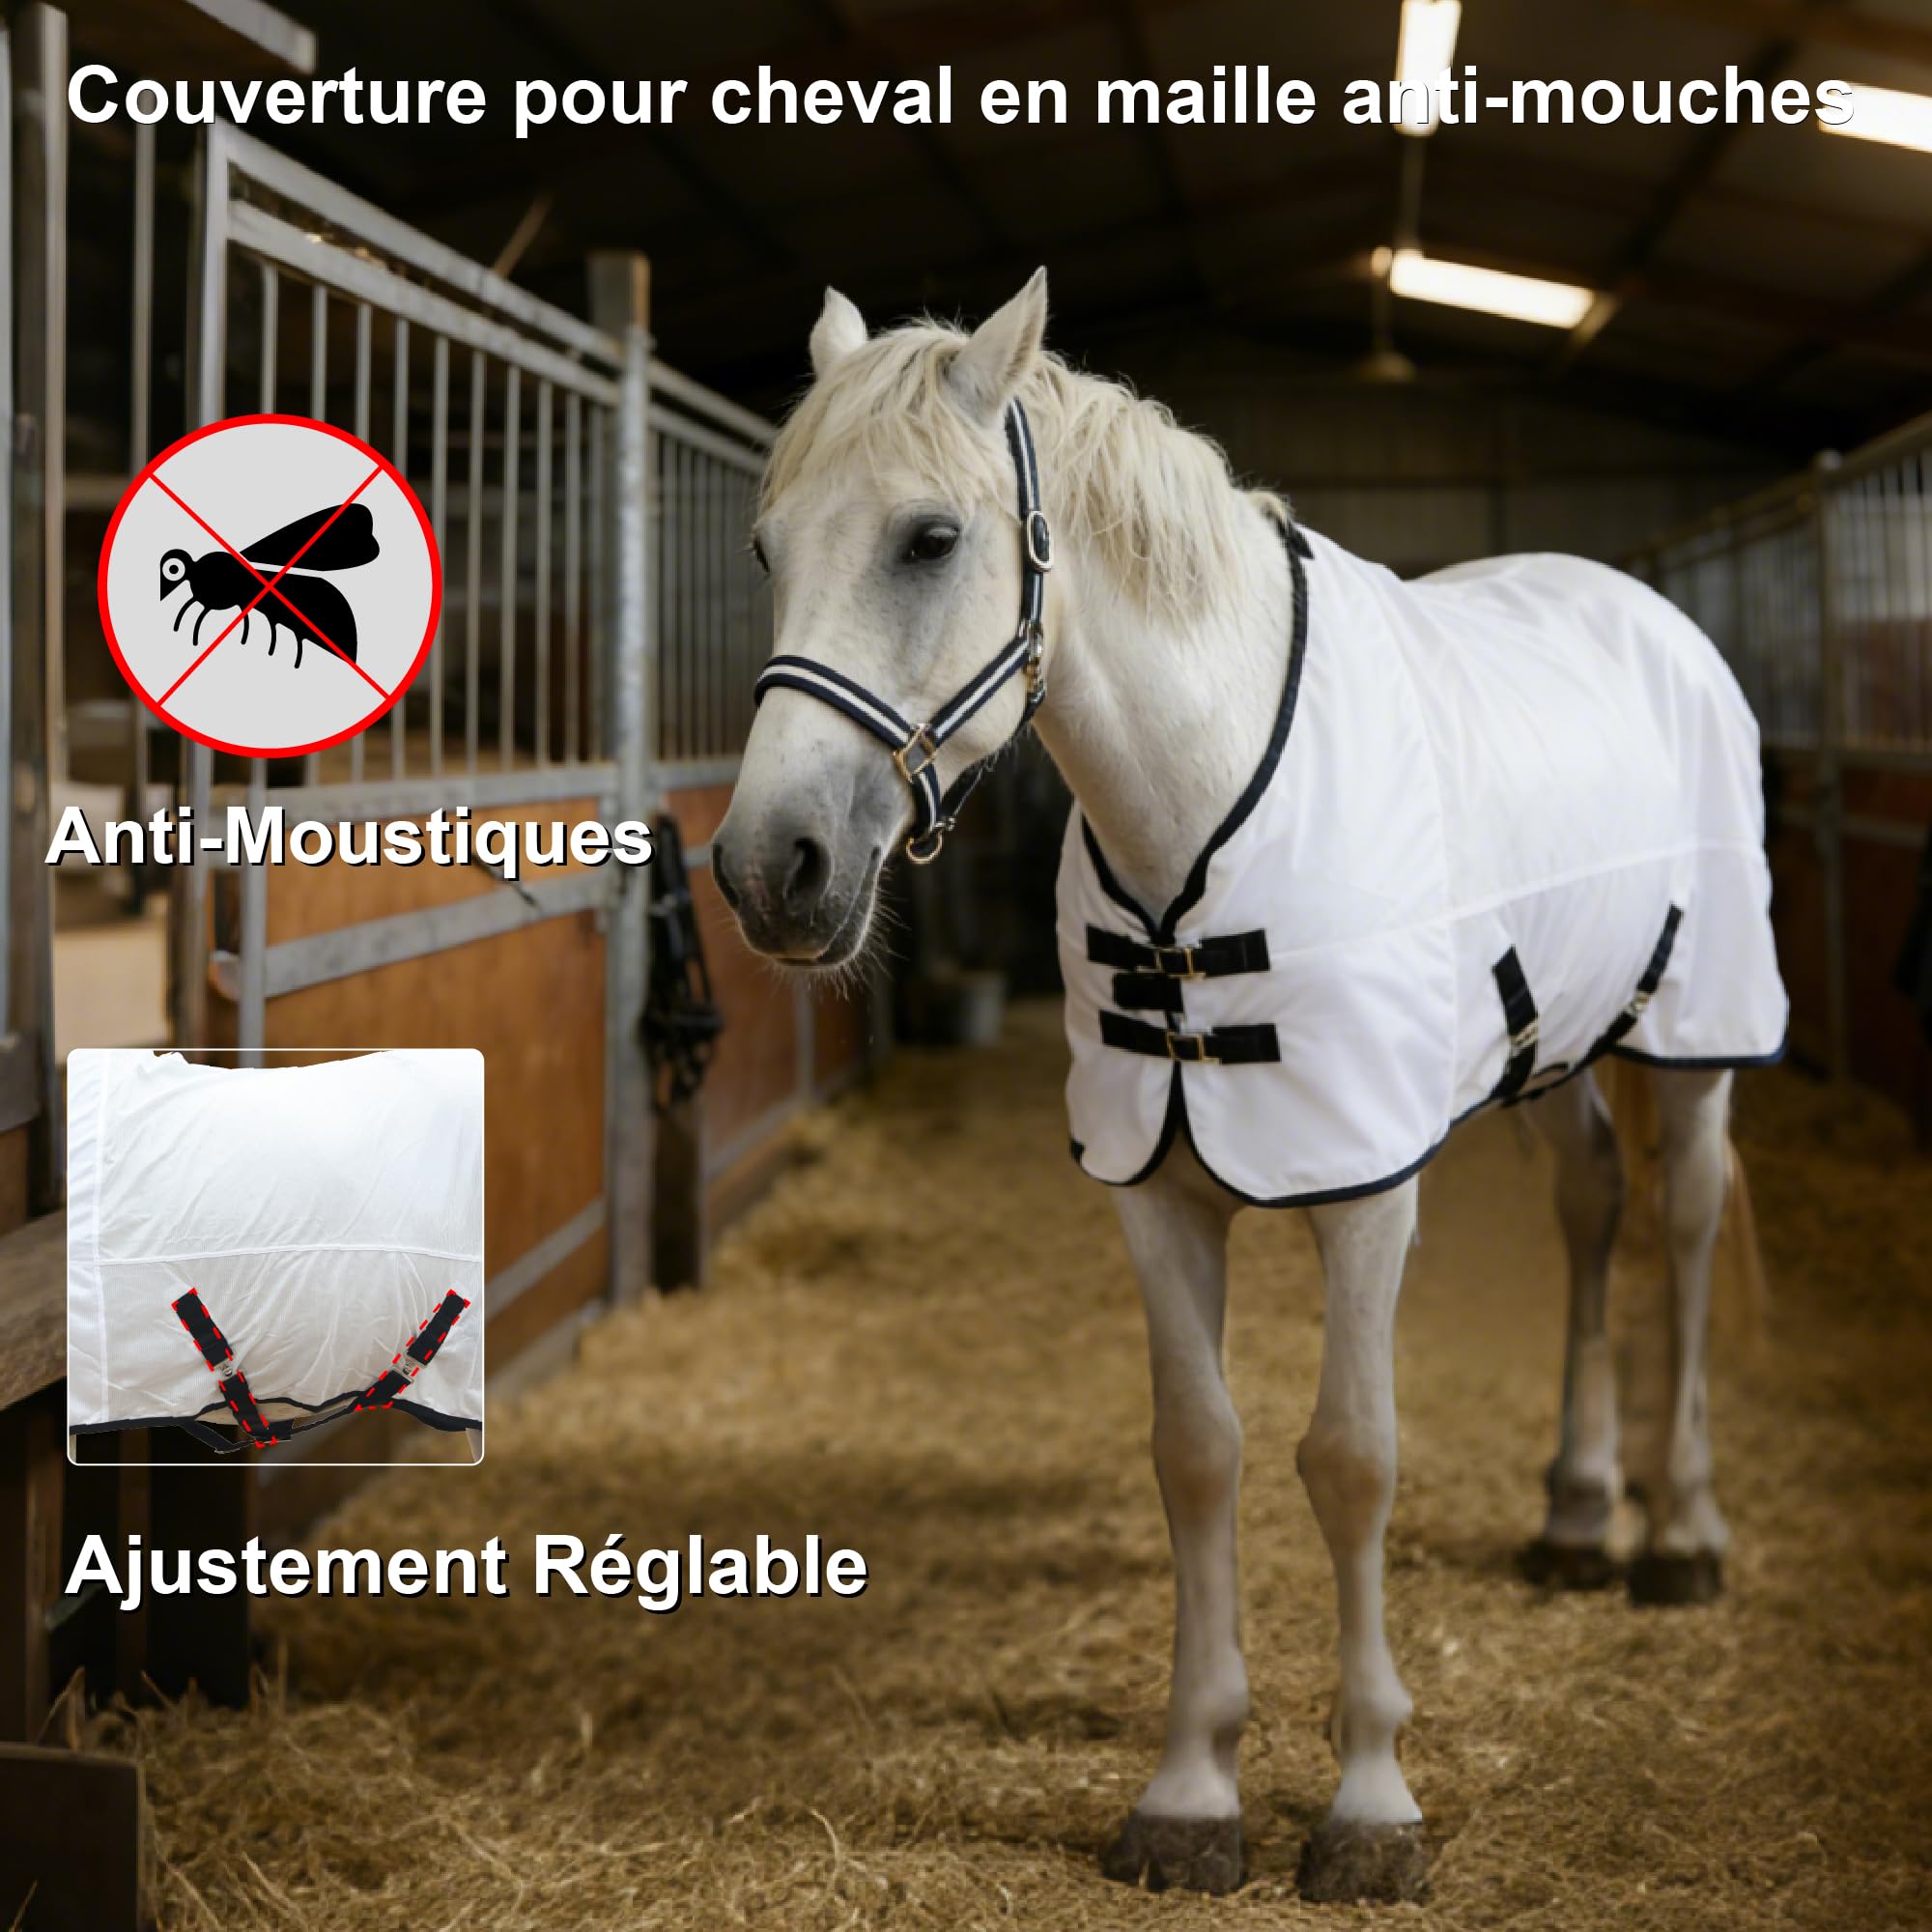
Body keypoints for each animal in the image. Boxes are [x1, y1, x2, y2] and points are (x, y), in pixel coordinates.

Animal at [711, 271, 1788, 1903]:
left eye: (931, 540)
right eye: (771, 547)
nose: (770, 870)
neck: (1197, 800)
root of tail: (1646, 610)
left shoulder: (1365, 1191)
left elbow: (1349, 1459)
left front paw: (1371, 1806)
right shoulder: (1152, 1191)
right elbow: (1198, 1456)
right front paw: (1190, 1793)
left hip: (1697, 1035)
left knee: (1685, 1229)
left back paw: (1681, 1536)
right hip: (1555, 1047)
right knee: (1596, 1215)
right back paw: (1578, 1510)